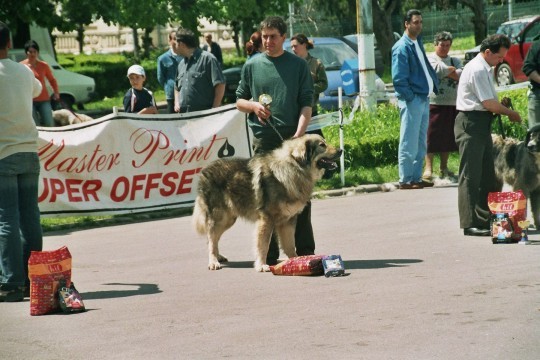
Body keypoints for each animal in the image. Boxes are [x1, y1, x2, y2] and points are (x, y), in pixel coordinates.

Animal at [192, 134, 340, 272]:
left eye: (325, 142)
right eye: (322, 145)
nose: (341, 150)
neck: (294, 168)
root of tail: (204, 170)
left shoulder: (288, 220)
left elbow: (290, 244)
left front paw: (296, 260)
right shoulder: (266, 220)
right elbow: (263, 245)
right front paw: (262, 265)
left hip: (229, 219)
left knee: (212, 239)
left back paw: (219, 257)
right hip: (220, 218)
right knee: (212, 239)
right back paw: (213, 261)